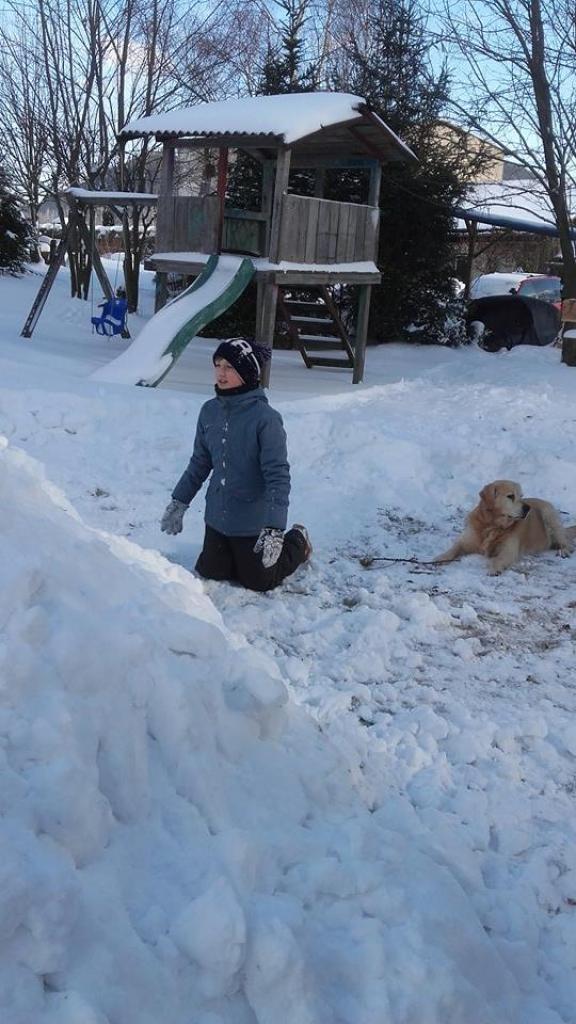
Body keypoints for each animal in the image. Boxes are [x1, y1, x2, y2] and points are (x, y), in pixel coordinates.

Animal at [434, 479, 573, 577]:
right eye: (510, 496)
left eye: (521, 496)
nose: (527, 508)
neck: (492, 525)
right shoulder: (465, 541)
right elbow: (454, 548)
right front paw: (440, 557)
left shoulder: (508, 551)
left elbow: (497, 559)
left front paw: (494, 568)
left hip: (549, 515)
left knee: (566, 542)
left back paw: (563, 551)